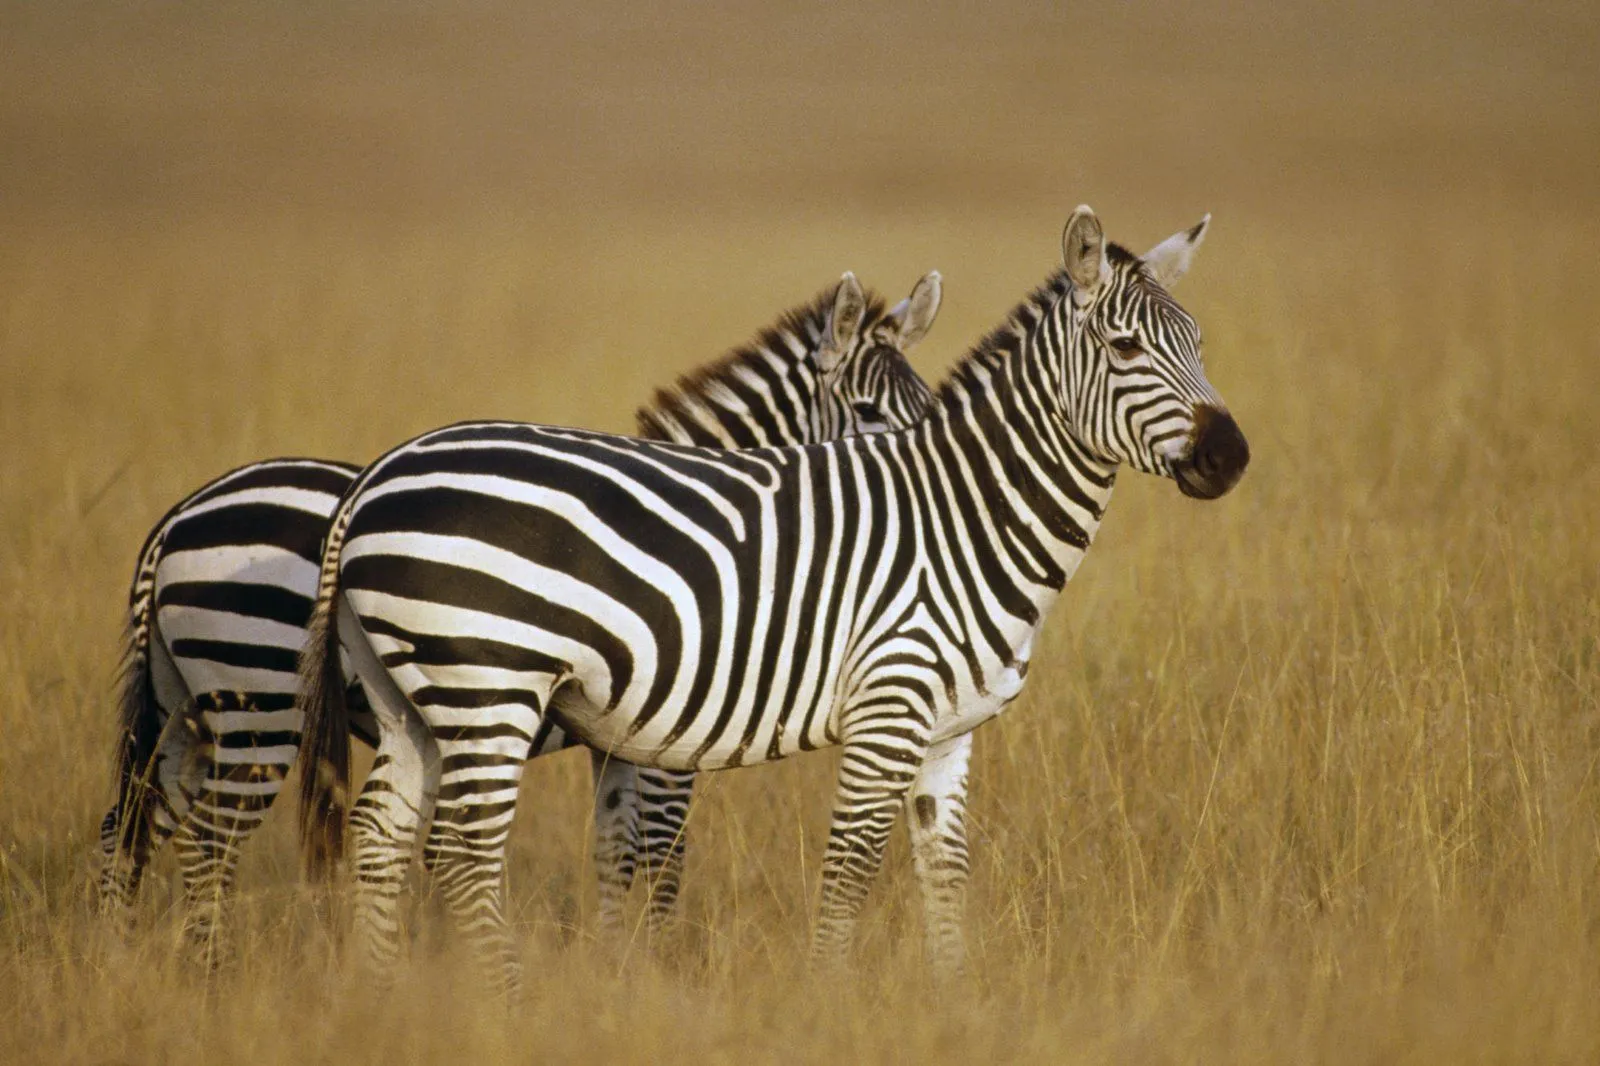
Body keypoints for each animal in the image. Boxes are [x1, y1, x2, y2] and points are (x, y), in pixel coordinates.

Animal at [96, 270, 934, 947]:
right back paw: (209, 970)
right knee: (206, 842)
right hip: (259, 700)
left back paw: (125, 965)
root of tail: (175, 523)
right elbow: (661, 853)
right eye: (867, 412)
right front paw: (660, 965)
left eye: (928, 405)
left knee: (127, 831)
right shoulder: (668, 736)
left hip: (188, 710)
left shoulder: (619, 740)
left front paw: (612, 965)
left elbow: (614, 850)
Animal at [294, 203, 1248, 985]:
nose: (1231, 456)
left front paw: (953, 1006)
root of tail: (376, 475)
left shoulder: (947, 735)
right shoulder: (874, 714)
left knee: (380, 836)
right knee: (462, 853)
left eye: (1200, 345)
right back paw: (504, 1001)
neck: (963, 518)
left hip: (412, 697)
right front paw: (819, 1002)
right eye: (1125, 350)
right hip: (486, 684)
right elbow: (838, 871)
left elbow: (945, 879)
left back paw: (387, 994)